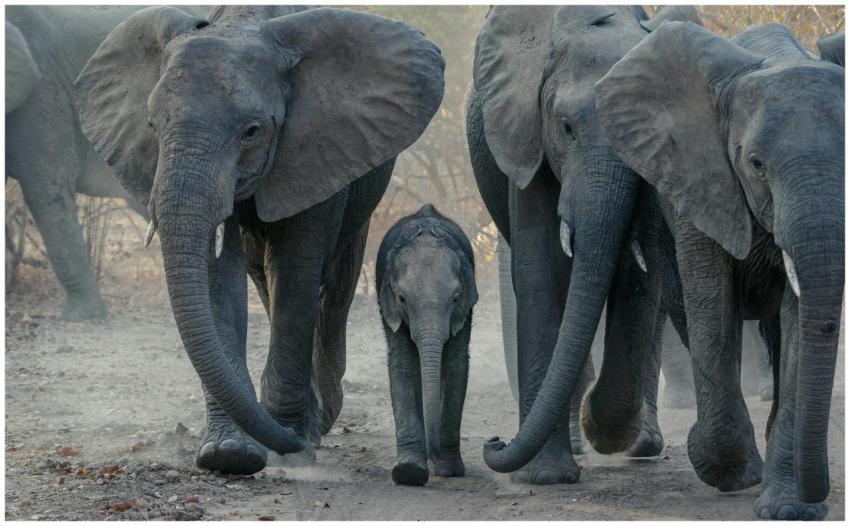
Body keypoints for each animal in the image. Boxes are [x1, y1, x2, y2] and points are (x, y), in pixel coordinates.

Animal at [74, 5, 444, 475]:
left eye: (251, 131)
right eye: (153, 126)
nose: (287, 442)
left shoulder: (318, 147)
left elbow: (297, 270)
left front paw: (291, 448)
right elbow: (219, 277)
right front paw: (229, 454)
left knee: (333, 290)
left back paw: (318, 421)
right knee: (264, 279)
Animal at [377, 204, 478, 486]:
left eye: (455, 298)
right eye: (402, 298)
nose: (434, 453)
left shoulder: (465, 308)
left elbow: (455, 365)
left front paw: (450, 470)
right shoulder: (390, 308)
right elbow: (403, 364)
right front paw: (409, 471)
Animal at [467, 5, 701, 484]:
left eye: (637, 133)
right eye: (567, 128)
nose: (493, 441)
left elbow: (639, 276)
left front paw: (605, 430)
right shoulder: (528, 137)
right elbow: (540, 272)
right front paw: (546, 477)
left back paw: (638, 444)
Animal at [597, 22, 843, 520]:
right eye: (756, 163)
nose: (817, 493)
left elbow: (797, 325)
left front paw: (789, 509)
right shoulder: (699, 179)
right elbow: (712, 305)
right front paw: (728, 472)